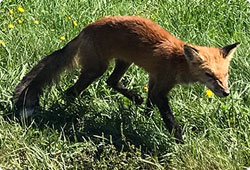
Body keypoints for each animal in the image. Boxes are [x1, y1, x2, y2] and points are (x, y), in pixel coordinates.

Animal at [14, 15, 240, 142]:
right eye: (209, 75)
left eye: (225, 75)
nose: (226, 93)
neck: (178, 61)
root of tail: (85, 29)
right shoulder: (161, 87)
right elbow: (169, 117)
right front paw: (179, 140)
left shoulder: (154, 80)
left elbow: (149, 104)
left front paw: (147, 119)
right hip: (96, 69)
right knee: (71, 91)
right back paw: (68, 113)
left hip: (123, 62)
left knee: (111, 82)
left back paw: (133, 97)